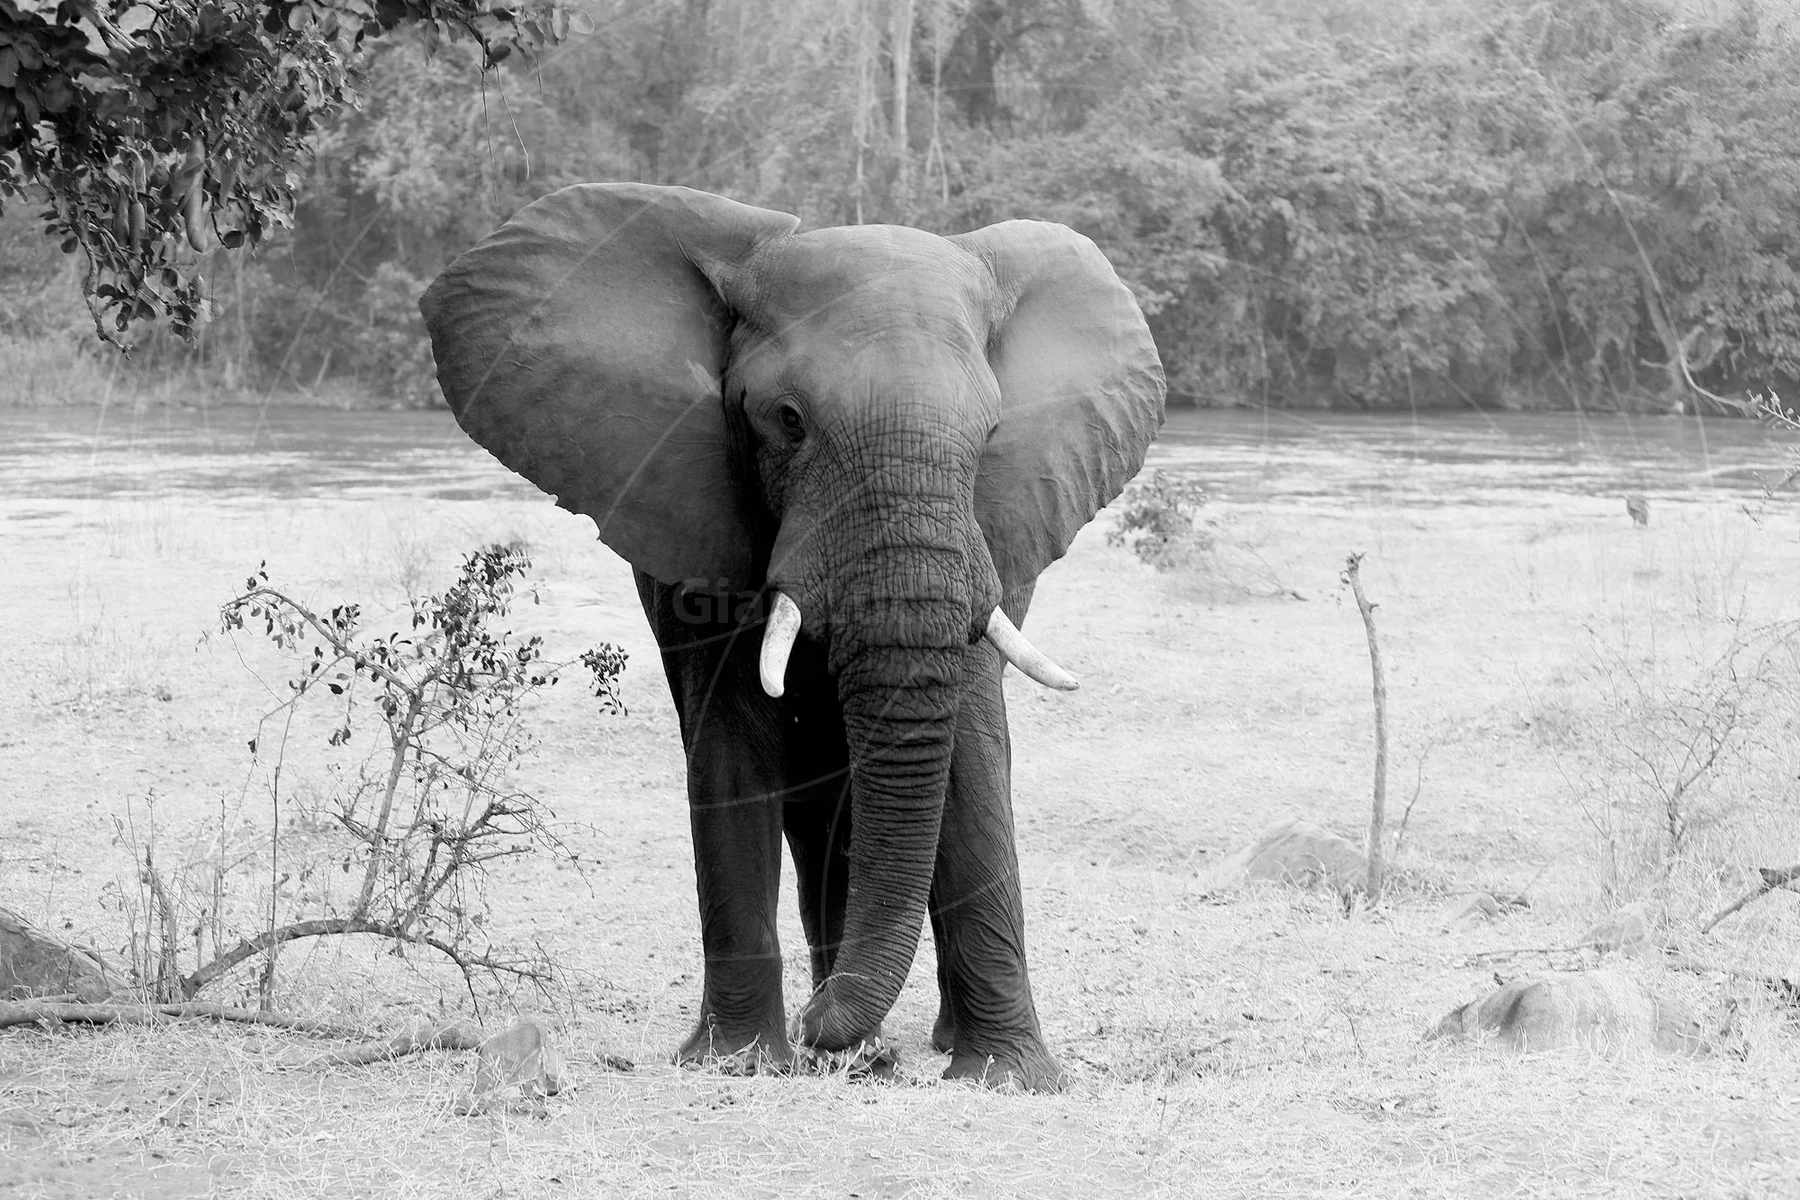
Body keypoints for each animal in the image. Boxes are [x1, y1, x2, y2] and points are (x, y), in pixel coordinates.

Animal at [420, 183, 1165, 1091]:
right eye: (788, 421)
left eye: (990, 435)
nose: (822, 1032)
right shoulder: (698, 511)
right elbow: (735, 737)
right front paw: (740, 1061)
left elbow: (972, 749)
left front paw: (1010, 1077)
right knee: (819, 821)